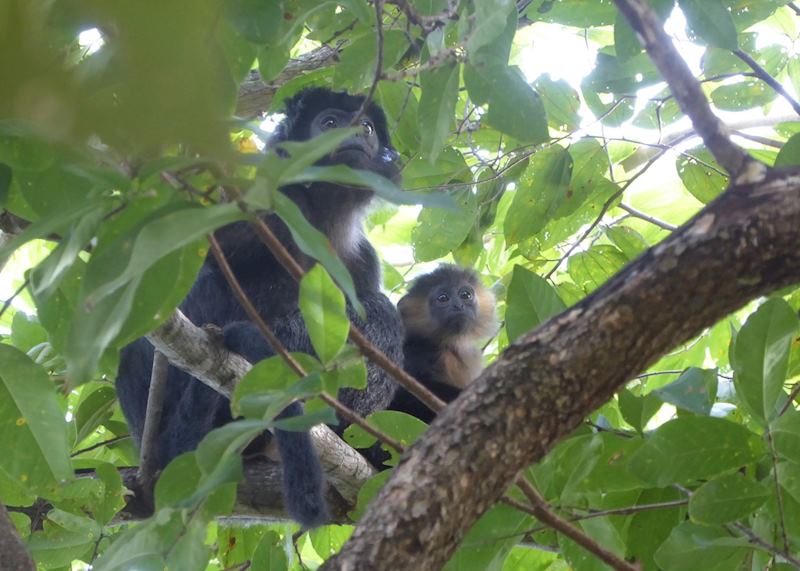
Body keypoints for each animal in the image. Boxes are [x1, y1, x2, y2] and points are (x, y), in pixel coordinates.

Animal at [115, 87, 404, 527]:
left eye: (367, 127)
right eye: (329, 122)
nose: (355, 134)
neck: (321, 217)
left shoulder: (363, 259)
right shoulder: (262, 215)